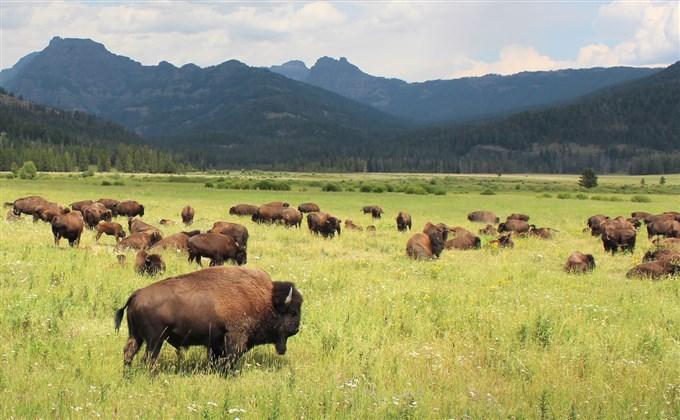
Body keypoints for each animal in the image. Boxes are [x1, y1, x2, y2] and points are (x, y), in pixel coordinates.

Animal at [114, 266, 302, 368]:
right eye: (293, 312)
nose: (297, 328)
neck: (266, 300)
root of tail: (137, 295)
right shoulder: (235, 337)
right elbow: (231, 358)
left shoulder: (215, 342)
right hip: (155, 339)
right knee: (148, 358)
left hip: (136, 336)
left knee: (129, 352)